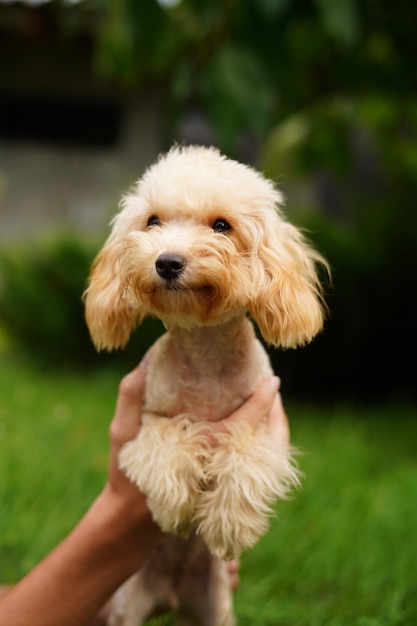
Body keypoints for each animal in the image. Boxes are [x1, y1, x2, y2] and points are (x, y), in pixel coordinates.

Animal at [83, 144, 326, 620]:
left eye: (221, 226)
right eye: (153, 221)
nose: (167, 262)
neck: (206, 355)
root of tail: (173, 595)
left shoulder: (265, 424)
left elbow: (245, 458)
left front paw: (230, 525)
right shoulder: (147, 421)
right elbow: (166, 442)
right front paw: (173, 504)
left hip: (215, 609)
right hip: (128, 606)